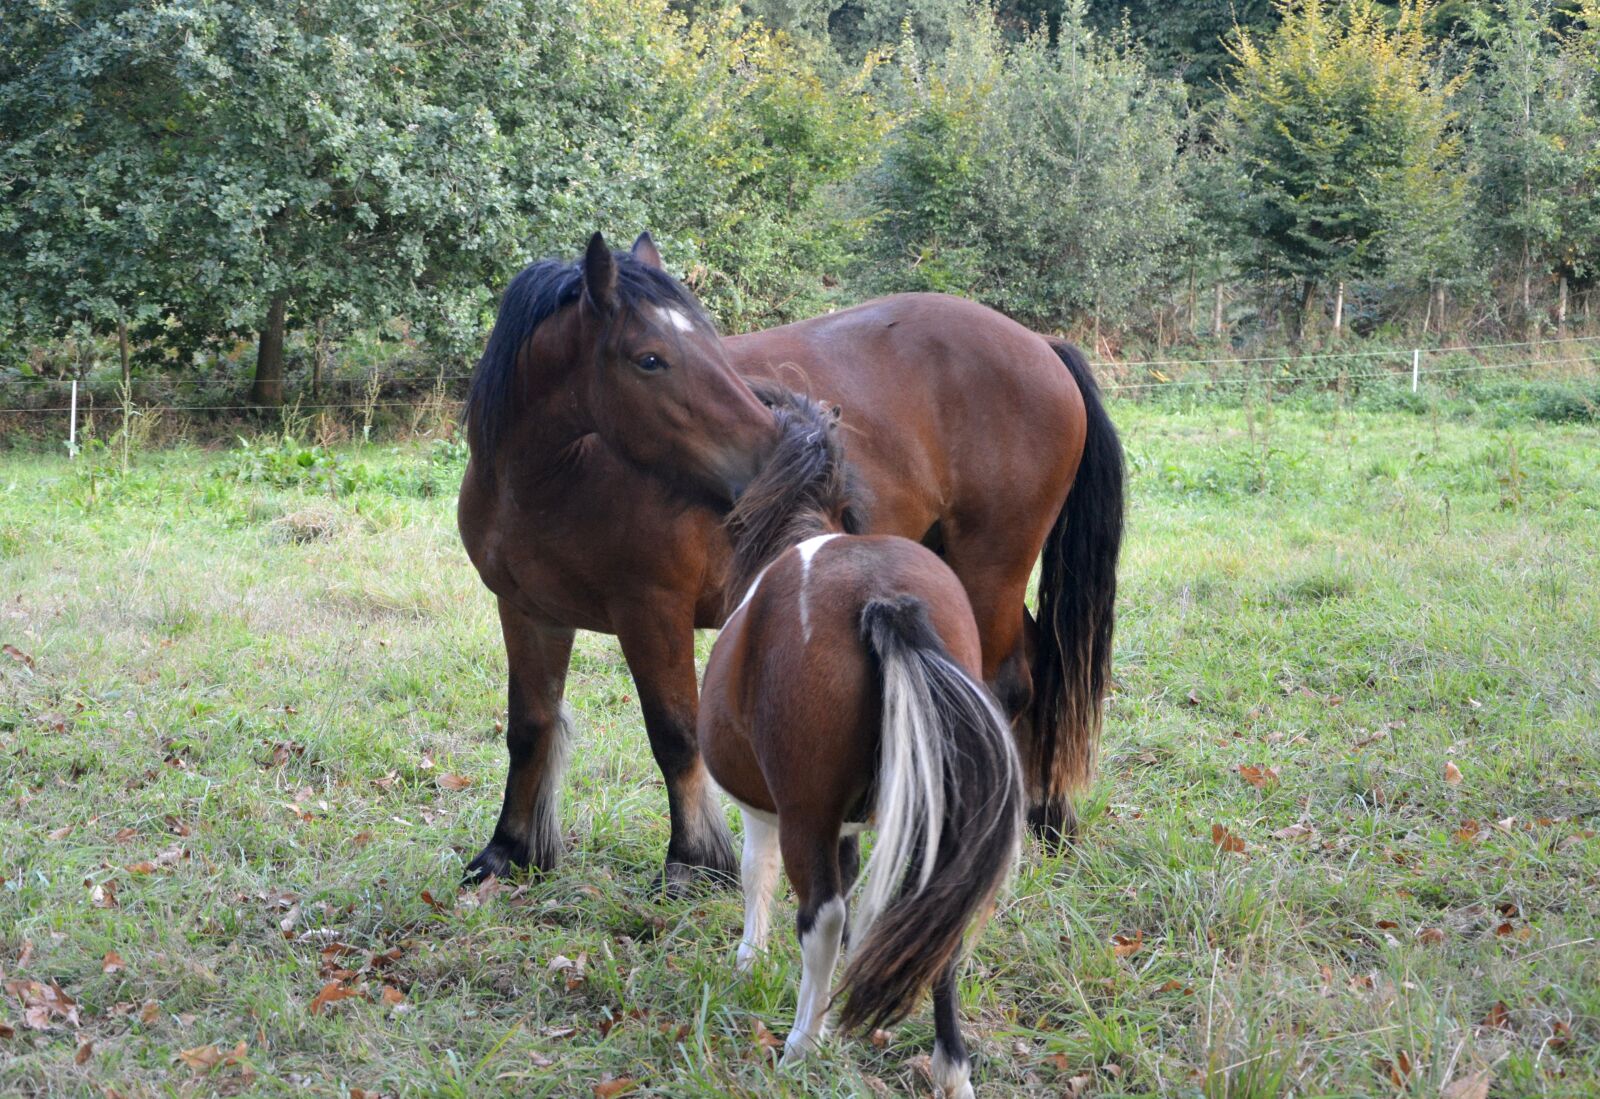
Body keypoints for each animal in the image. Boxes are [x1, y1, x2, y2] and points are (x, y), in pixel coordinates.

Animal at [459, 231, 1122, 891]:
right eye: (650, 359)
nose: (783, 454)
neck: (554, 477)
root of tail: (1041, 344)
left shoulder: (651, 613)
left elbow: (674, 734)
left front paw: (692, 861)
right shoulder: (528, 613)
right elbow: (530, 727)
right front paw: (508, 850)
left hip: (993, 567)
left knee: (1007, 685)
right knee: (1038, 668)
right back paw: (1046, 819)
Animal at [699, 390, 1023, 1097]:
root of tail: (884, 602)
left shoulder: (769, 813)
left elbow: (757, 875)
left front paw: (748, 959)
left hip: (806, 815)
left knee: (820, 919)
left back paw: (801, 1045)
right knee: (937, 925)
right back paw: (951, 1070)